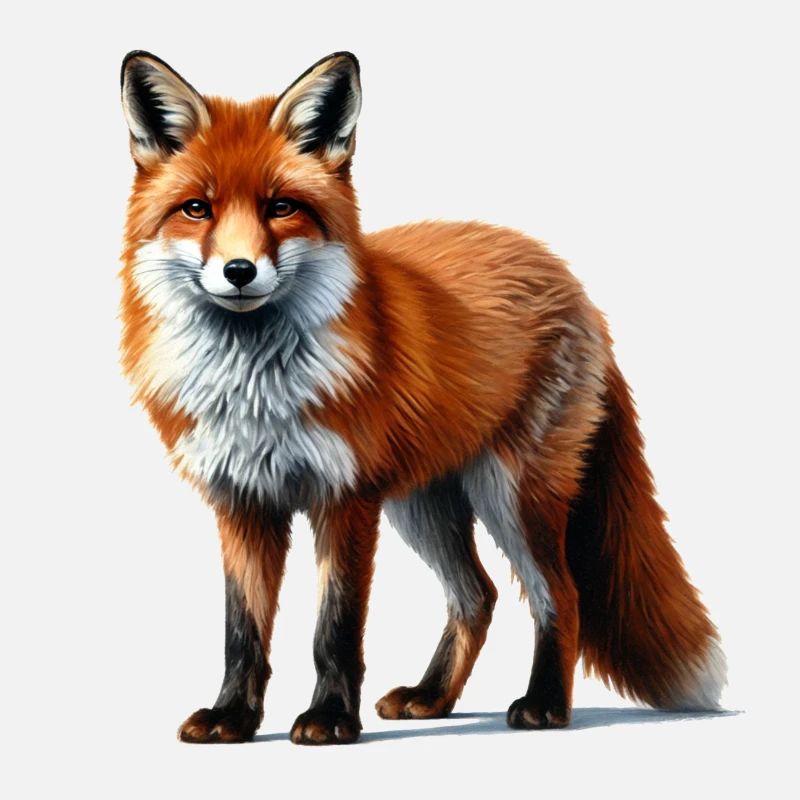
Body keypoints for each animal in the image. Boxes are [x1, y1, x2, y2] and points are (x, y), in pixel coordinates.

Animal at [118, 50, 726, 745]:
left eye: (281, 207)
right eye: (197, 209)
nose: (239, 271)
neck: (256, 386)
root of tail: (567, 278)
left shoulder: (346, 498)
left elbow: (335, 629)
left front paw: (330, 718)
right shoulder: (242, 501)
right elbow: (242, 632)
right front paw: (234, 718)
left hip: (512, 494)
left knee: (559, 594)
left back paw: (544, 704)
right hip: (423, 505)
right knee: (478, 596)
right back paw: (433, 697)